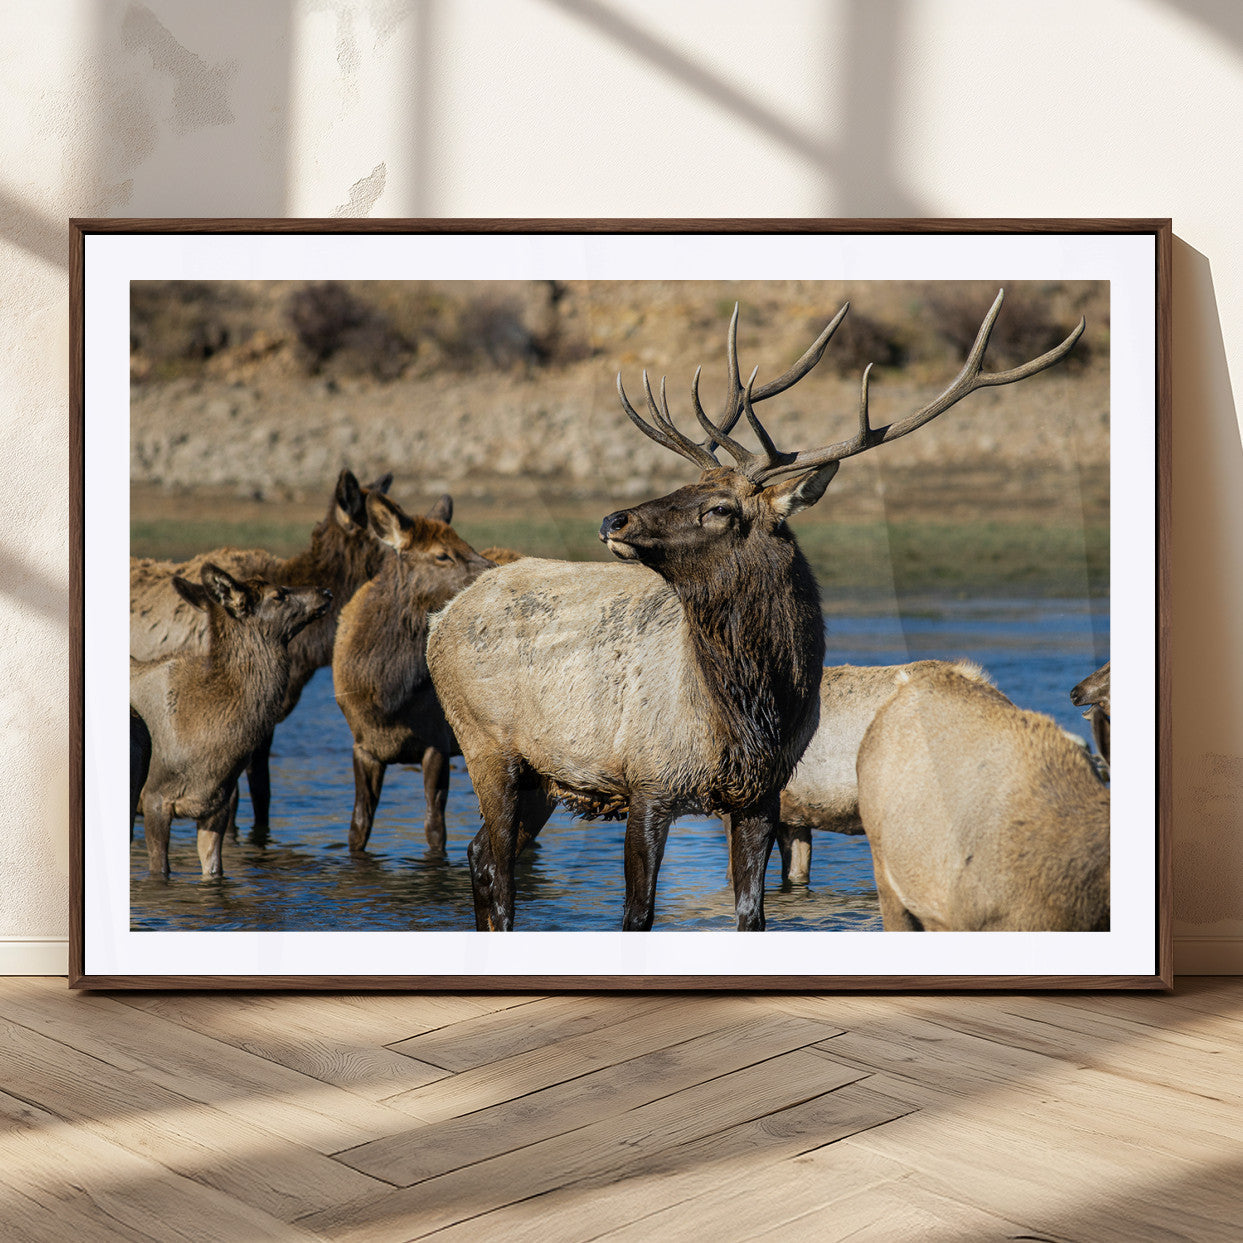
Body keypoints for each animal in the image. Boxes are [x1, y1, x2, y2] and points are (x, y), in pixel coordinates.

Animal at [130, 564, 332, 878]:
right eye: (279, 594)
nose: (326, 591)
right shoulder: (154, 798)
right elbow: (159, 870)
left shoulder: (217, 805)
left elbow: (214, 870)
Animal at [332, 491, 495, 854]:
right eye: (442, 554)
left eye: (468, 544)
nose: (495, 572)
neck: (388, 697)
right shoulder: (362, 745)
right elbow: (357, 828)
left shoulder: (437, 741)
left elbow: (435, 829)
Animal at [428, 290, 1084, 932]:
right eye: (684, 486)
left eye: (718, 506)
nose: (613, 519)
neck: (748, 713)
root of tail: (443, 617)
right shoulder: (649, 780)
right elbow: (638, 915)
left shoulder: (763, 796)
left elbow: (753, 914)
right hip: (485, 743)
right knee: (496, 868)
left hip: (539, 773)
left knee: (481, 854)